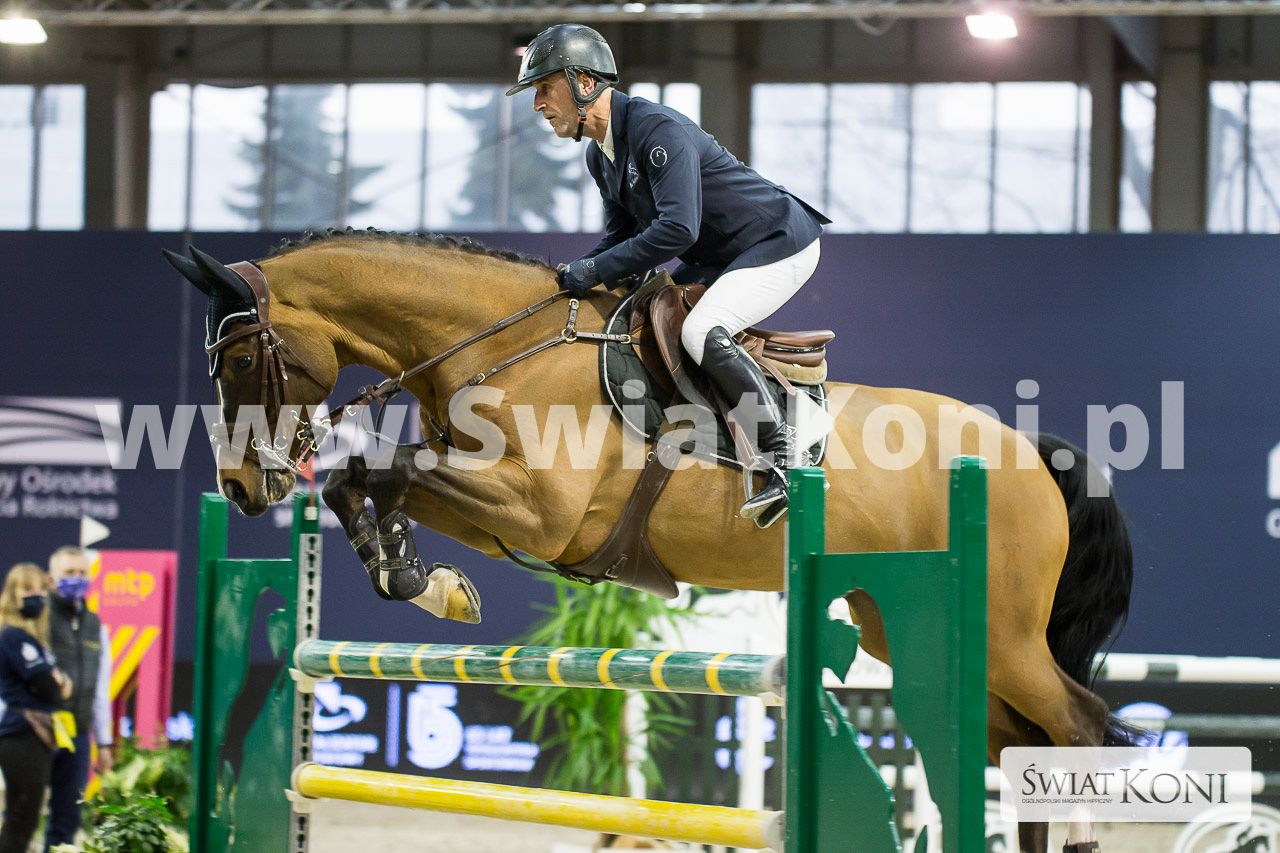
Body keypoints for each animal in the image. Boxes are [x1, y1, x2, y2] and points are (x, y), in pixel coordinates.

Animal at [164, 230, 1134, 853]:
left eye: (240, 361)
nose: (241, 489)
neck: (510, 346)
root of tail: (1023, 449)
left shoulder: (539, 511)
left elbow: (382, 470)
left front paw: (414, 571)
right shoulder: (499, 512)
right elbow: (367, 481)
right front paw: (418, 573)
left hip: (1003, 638)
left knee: (1081, 729)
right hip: (913, 628)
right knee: (1016, 748)